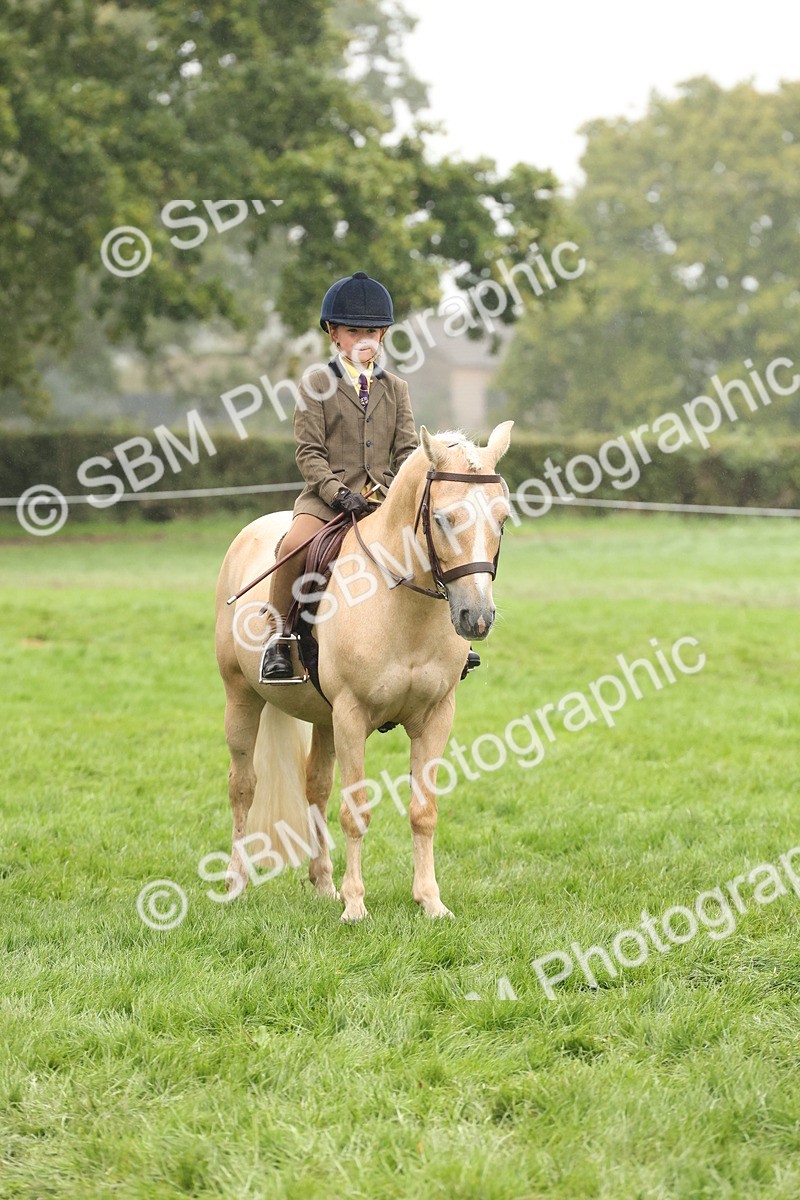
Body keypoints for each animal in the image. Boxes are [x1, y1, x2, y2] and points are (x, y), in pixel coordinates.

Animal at [214, 421, 514, 921]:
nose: (477, 617)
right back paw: (237, 883)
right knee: (244, 787)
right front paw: (355, 905)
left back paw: (322, 883)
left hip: (323, 718)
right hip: (242, 698)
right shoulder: (352, 716)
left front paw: (430, 901)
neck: (403, 606)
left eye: (502, 520)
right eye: (443, 519)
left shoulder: (435, 717)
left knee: (315, 788)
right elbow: (355, 810)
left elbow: (423, 811)